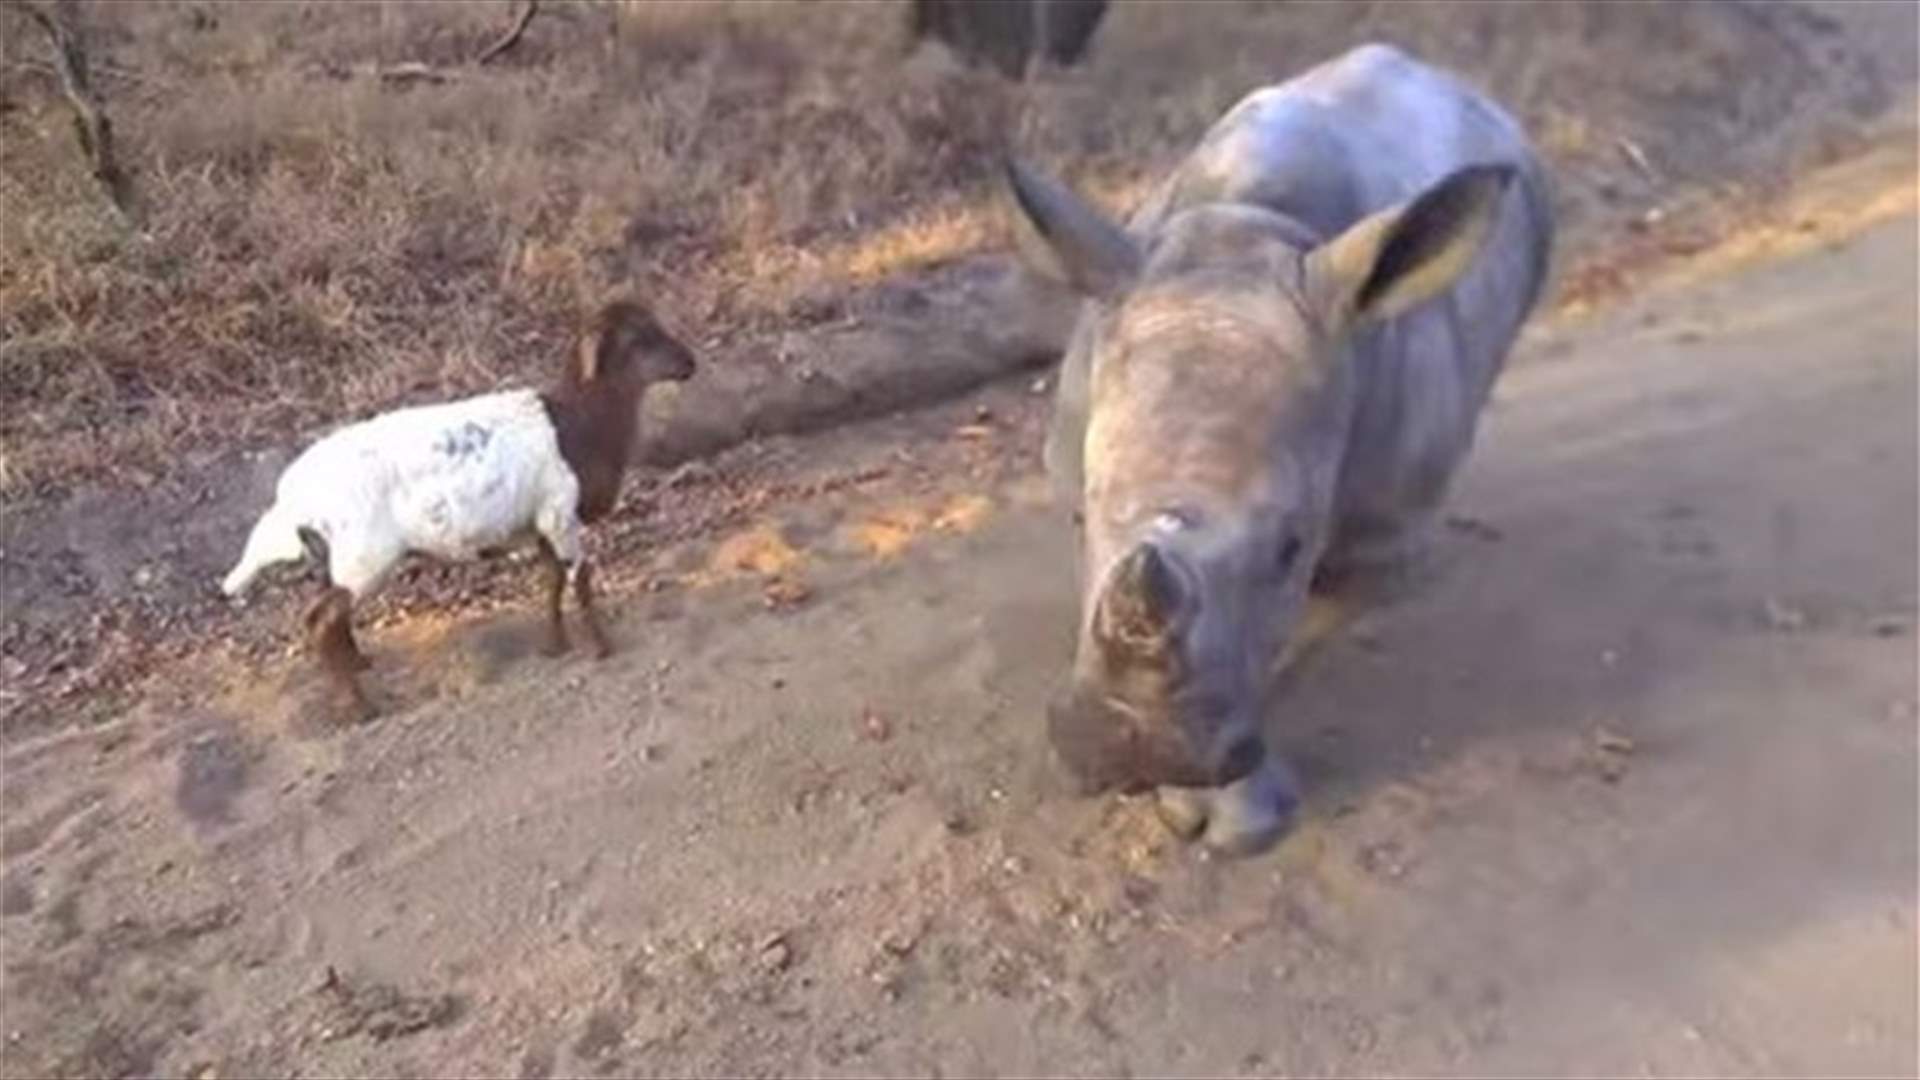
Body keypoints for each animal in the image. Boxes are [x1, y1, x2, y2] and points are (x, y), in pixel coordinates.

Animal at [220, 298, 698, 719]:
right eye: (639, 338)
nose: (690, 363)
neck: (582, 423)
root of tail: (291, 494)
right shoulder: (561, 515)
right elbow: (580, 580)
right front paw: (602, 647)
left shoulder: (539, 522)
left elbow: (551, 581)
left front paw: (555, 646)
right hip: (363, 556)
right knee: (320, 621)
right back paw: (361, 708)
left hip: (329, 557)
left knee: (329, 618)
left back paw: (358, 667)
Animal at [1006, 43, 1556, 855]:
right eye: (1078, 519)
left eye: (1292, 546)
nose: (1131, 749)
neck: (1247, 234)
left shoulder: (1380, 545)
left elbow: (1285, 647)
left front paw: (1234, 820)